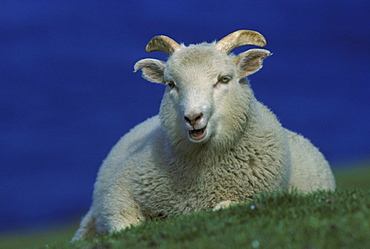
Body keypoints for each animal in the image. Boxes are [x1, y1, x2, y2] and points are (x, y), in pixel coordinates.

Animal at [71, 29, 336, 241]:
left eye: (224, 79)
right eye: (170, 84)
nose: (193, 117)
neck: (204, 174)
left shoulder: (258, 195)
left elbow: (222, 208)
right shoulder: (118, 197)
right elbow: (125, 225)